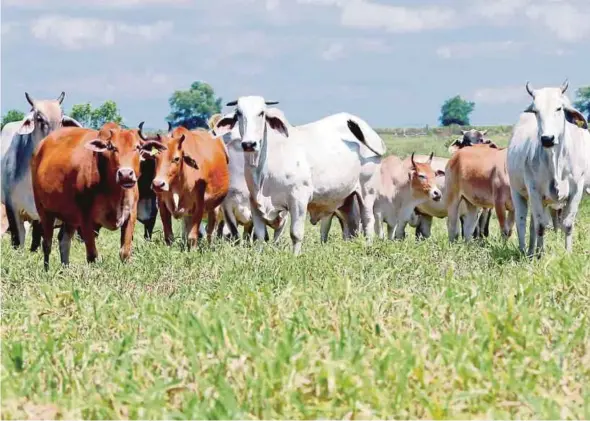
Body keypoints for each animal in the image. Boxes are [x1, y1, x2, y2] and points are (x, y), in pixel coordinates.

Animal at [31, 121, 143, 270]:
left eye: (138, 147)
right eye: (112, 147)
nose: (125, 174)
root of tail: (40, 146)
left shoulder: (131, 214)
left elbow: (124, 252)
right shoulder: (85, 218)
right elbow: (92, 255)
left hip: (70, 217)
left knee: (64, 240)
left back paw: (65, 268)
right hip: (44, 211)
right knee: (47, 244)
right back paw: (47, 270)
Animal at [215, 95, 386, 253]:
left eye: (261, 113)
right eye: (238, 113)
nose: (249, 144)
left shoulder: (298, 199)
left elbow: (295, 234)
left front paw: (295, 256)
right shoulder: (255, 203)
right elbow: (260, 235)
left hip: (366, 191)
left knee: (368, 221)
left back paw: (368, 247)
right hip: (346, 197)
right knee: (352, 224)